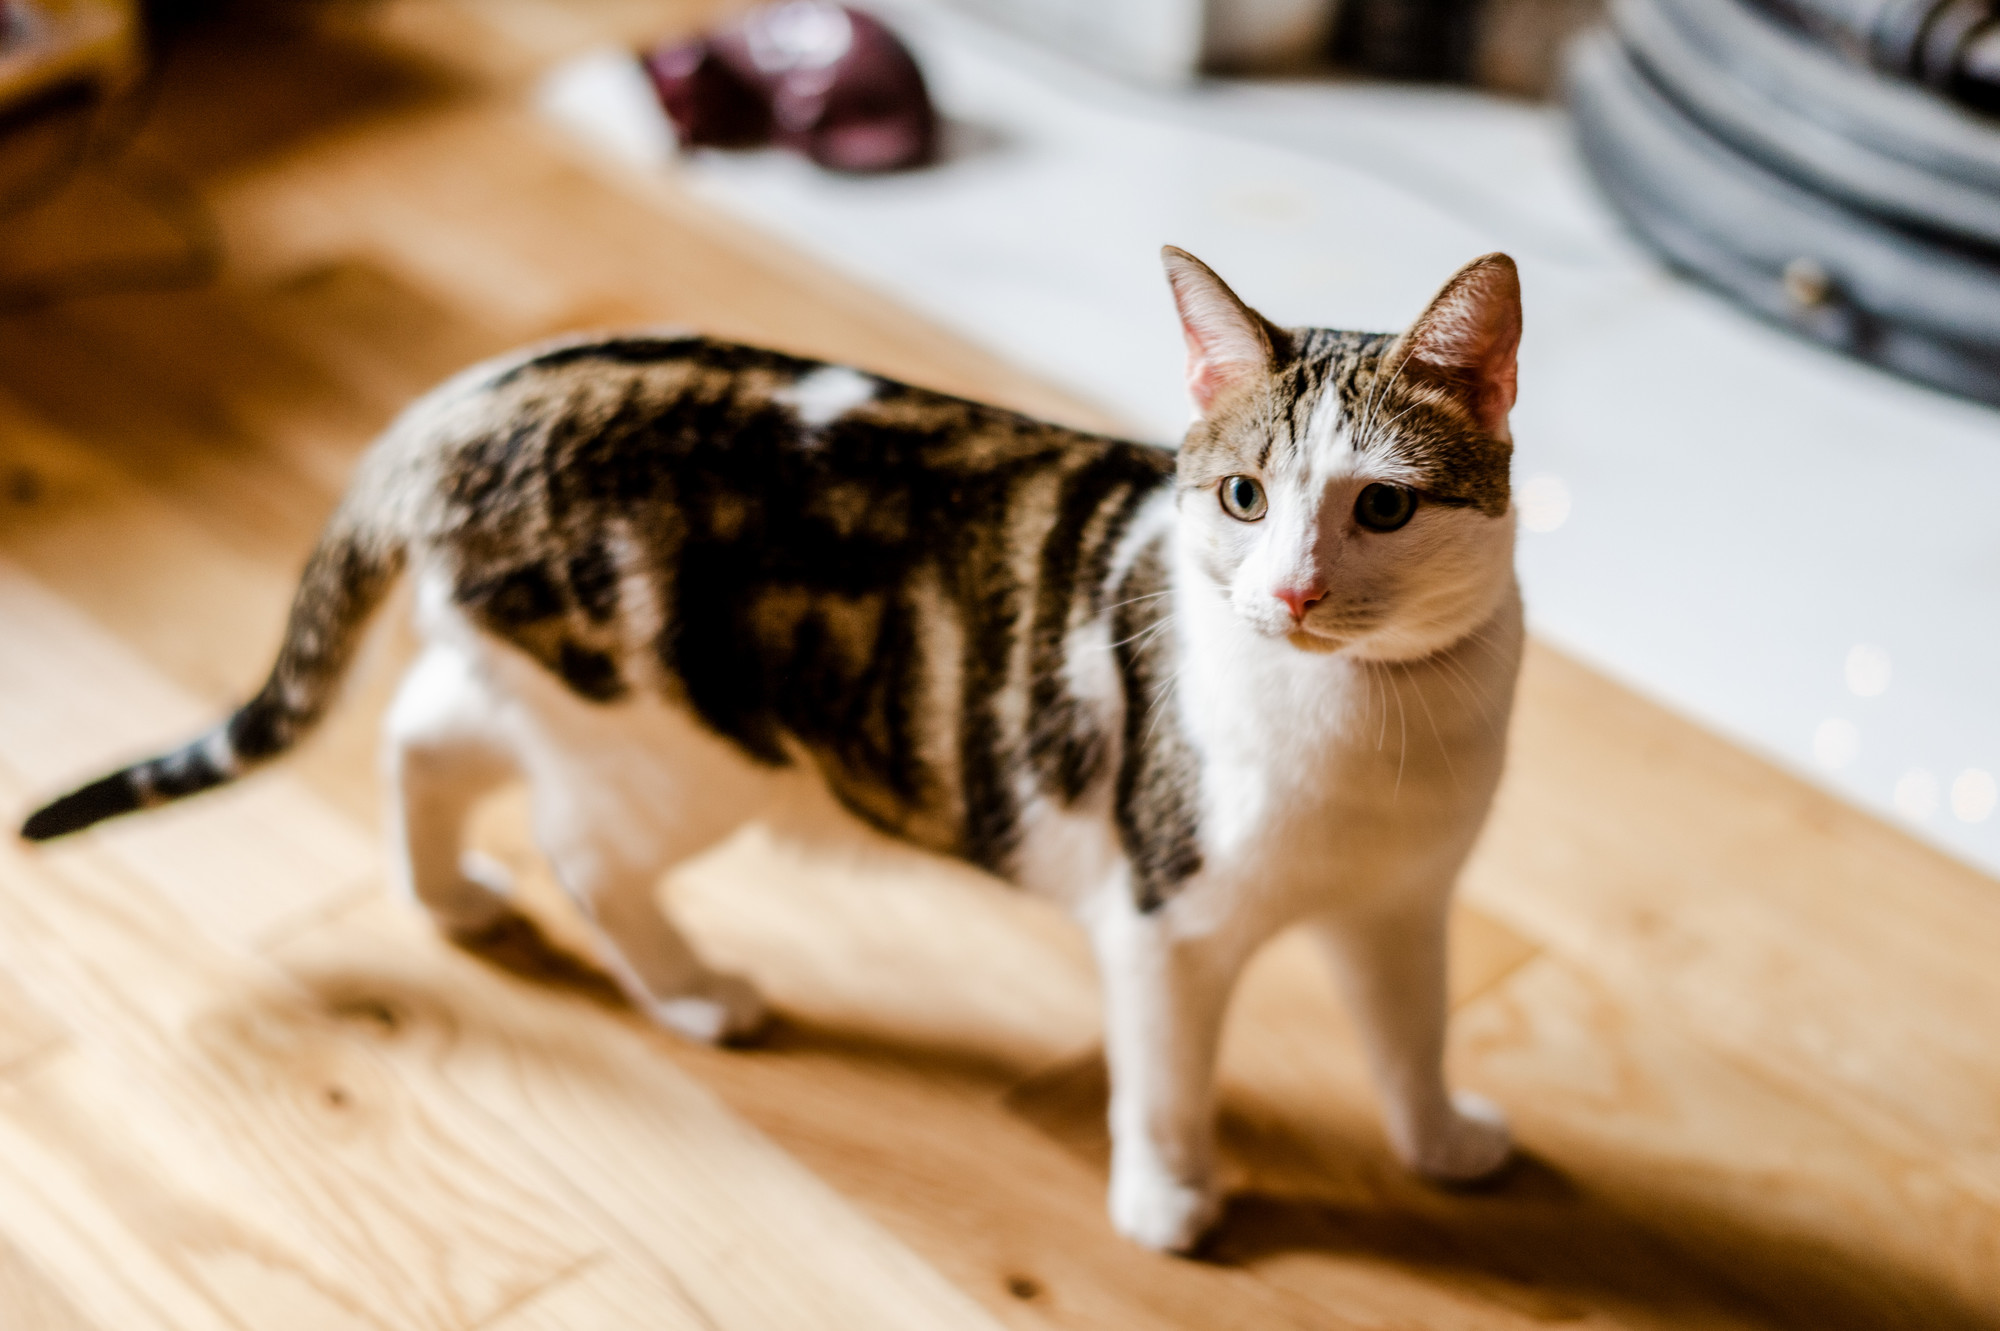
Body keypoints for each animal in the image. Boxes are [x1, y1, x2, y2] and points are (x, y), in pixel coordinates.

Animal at [15, 243, 1520, 1247]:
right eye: (1244, 496)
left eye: (1384, 507)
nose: (1294, 594)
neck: (1376, 721)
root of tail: (467, 396)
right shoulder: (1166, 916)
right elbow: (1162, 1080)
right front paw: (1167, 1201)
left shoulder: (1407, 900)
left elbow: (1411, 1032)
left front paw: (1443, 1143)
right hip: (676, 748)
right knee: (574, 845)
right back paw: (692, 992)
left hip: (554, 682)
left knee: (423, 734)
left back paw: (447, 898)